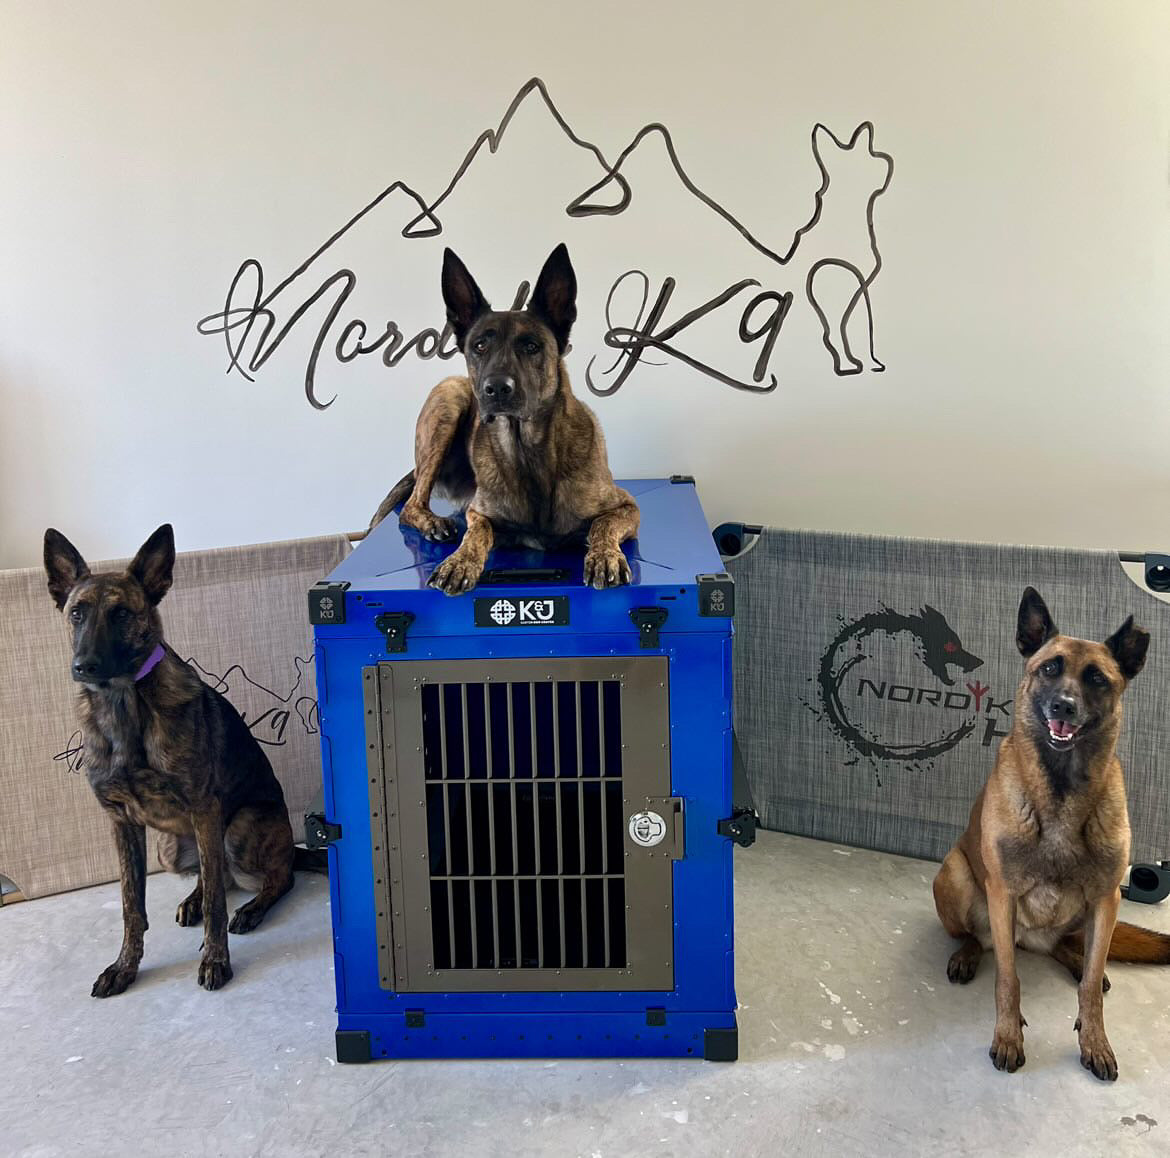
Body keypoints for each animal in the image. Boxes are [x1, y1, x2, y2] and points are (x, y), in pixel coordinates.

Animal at [45, 526, 301, 996]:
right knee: (209, 871)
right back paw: (193, 899)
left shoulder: (205, 808)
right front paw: (124, 966)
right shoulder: (122, 821)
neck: (124, 706)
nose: (84, 666)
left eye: (122, 613)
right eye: (77, 614)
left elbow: (219, 902)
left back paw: (252, 908)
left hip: (238, 827)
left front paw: (216, 960)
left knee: (275, 876)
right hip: (170, 847)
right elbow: (131, 906)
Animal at [367, 239, 636, 594]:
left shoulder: (626, 507)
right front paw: (460, 561)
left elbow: (602, 525)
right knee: (410, 505)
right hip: (449, 395)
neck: (529, 452)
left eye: (532, 346)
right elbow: (477, 532)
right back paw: (433, 522)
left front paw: (604, 555)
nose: (496, 389)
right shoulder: (477, 512)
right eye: (479, 346)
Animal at [931, 594, 1170, 1085]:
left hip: (1088, 914)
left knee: (1076, 953)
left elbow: (1090, 989)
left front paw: (1095, 1041)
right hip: (955, 875)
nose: (1064, 706)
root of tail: (1032, 940)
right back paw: (967, 955)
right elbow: (1008, 980)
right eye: (1049, 669)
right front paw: (1008, 1036)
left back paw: (1079, 962)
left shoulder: (1106, 898)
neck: (1062, 790)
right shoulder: (1002, 895)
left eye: (1097, 678)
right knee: (973, 937)